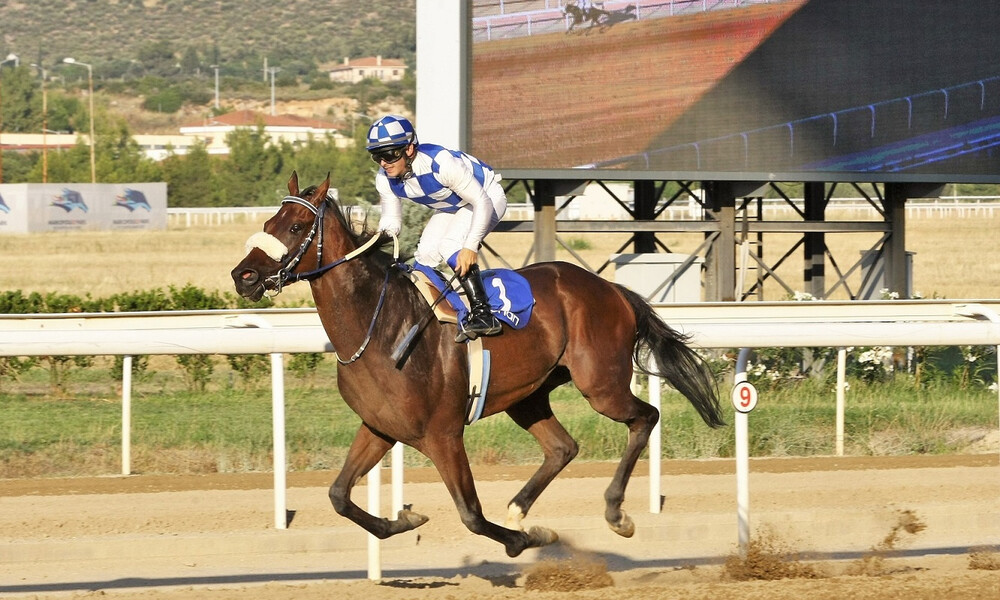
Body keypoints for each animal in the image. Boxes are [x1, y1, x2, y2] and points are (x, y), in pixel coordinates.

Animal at [230, 171, 724, 556]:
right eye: (268, 221)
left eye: (297, 226)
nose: (243, 275)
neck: (379, 326)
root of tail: (612, 289)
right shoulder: (380, 427)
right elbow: (337, 495)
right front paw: (403, 521)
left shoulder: (443, 435)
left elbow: (470, 513)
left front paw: (524, 540)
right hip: (529, 395)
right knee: (563, 447)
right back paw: (521, 509)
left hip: (600, 384)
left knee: (645, 417)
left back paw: (615, 513)